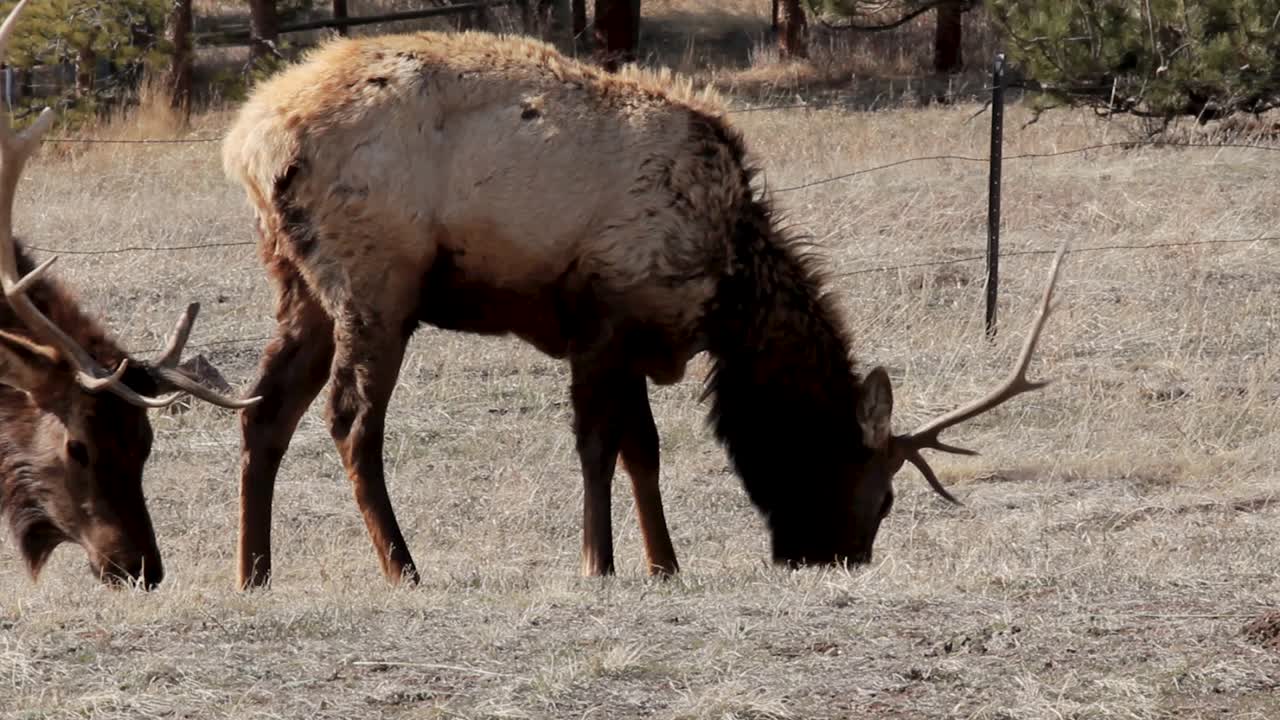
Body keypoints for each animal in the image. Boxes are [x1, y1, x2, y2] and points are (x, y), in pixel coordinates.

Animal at [222, 29, 1066, 589]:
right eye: (882, 495)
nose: (835, 557)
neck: (727, 283)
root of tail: (248, 141)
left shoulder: (631, 331)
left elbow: (644, 450)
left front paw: (664, 563)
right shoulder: (603, 317)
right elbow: (600, 447)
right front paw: (599, 563)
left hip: (297, 283)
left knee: (264, 410)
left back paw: (253, 571)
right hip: (378, 281)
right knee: (351, 420)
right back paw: (402, 565)